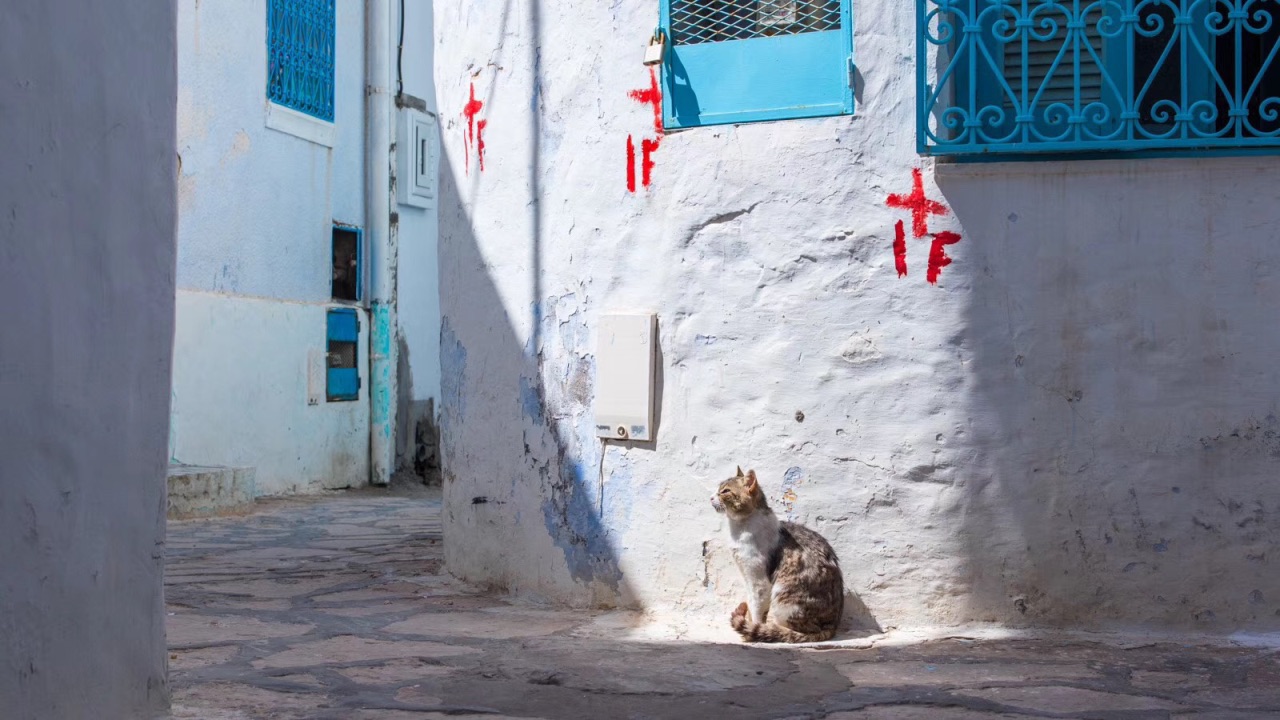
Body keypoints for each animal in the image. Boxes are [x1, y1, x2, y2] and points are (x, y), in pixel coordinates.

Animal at [711, 468, 839, 640]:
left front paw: (752, 632)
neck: (739, 528)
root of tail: (833, 624)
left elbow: (756, 611)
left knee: (798, 631)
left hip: (783, 597)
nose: (711, 497)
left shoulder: (759, 581)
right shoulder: (747, 576)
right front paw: (749, 628)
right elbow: (751, 607)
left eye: (725, 491)